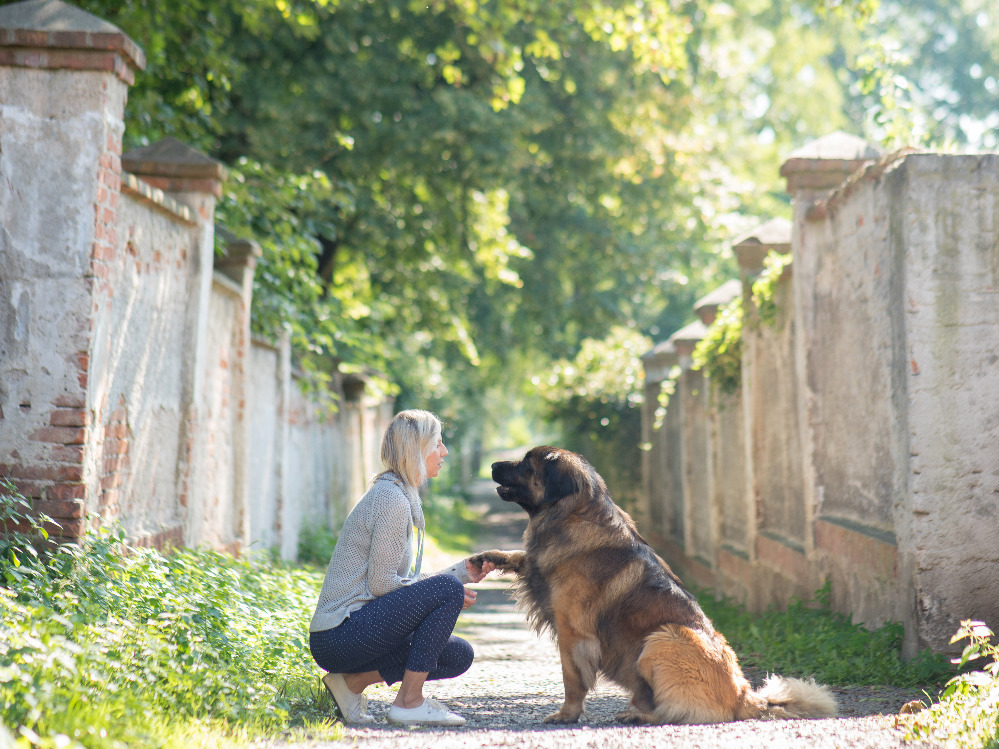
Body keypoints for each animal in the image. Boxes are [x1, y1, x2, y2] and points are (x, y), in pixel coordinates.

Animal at [472, 448, 840, 720]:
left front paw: (567, 715)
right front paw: (486, 558)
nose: (492, 464)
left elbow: (572, 678)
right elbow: (520, 556)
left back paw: (638, 713)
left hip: (662, 639)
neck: (570, 515)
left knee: (671, 710)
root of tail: (744, 695)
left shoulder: (573, 631)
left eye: (525, 464)